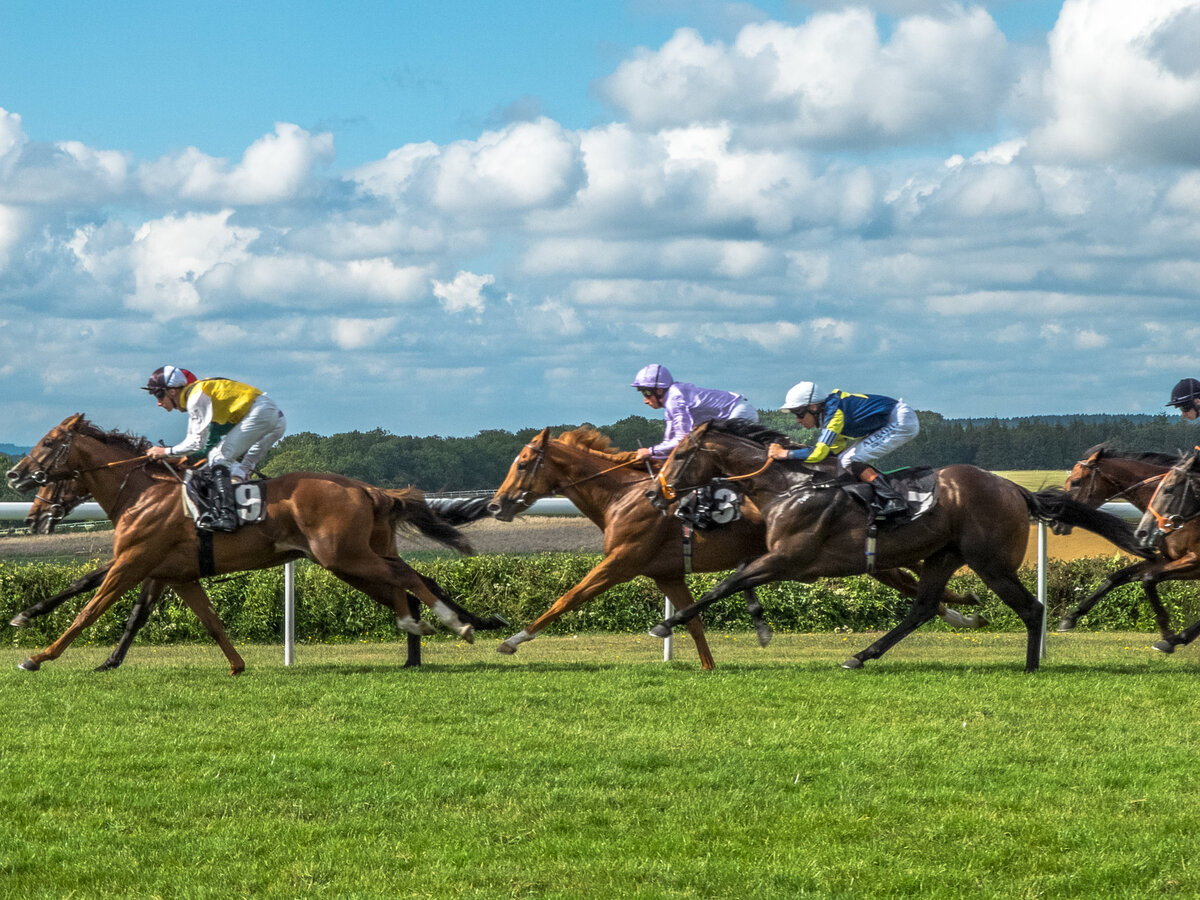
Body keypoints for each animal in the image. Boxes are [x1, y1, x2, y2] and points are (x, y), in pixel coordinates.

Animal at [5, 412, 501, 672]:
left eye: (48, 444)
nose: (15, 477)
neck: (142, 492)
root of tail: (370, 490)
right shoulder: (172, 572)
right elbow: (198, 619)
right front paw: (236, 664)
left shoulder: (134, 561)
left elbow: (88, 607)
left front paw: (38, 654)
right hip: (354, 559)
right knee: (408, 582)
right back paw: (418, 635)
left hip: (342, 555)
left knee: (408, 576)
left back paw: (454, 625)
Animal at [484, 424, 984, 672]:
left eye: (523, 463)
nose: (495, 504)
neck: (623, 494)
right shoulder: (666, 572)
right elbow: (694, 621)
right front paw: (708, 666)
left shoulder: (622, 560)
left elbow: (568, 597)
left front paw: (512, 641)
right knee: (911, 583)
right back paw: (962, 611)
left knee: (910, 584)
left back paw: (959, 613)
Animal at [643, 420, 1147, 672]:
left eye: (681, 454)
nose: (655, 494)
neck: (790, 487)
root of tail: (1013, 489)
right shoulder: (778, 558)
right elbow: (732, 582)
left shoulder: (788, 559)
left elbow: (721, 586)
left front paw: (666, 625)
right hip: (945, 555)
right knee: (921, 609)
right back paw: (861, 656)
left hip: (991, 561)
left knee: (1031, 608)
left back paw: (1030, 667)